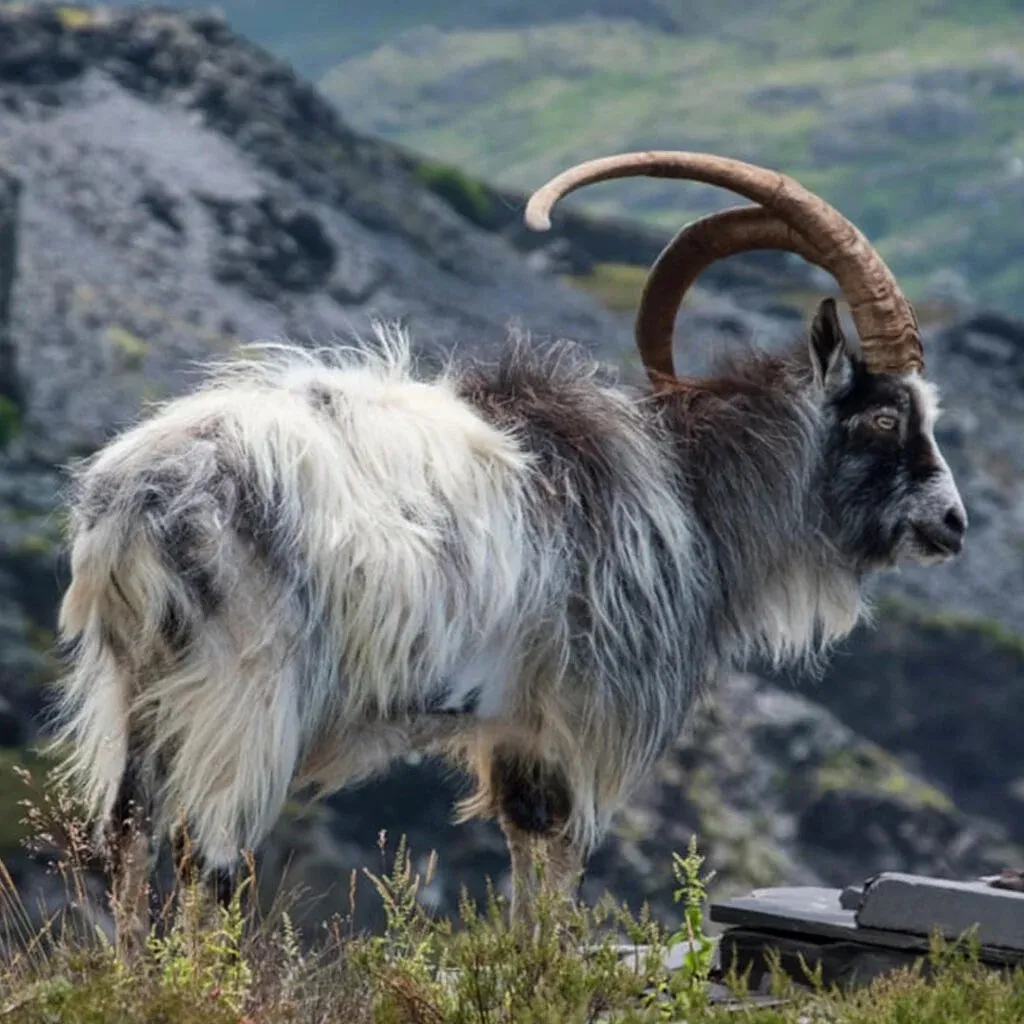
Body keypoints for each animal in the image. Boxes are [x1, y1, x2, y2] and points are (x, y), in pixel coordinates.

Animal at [50, 150, 967, 942]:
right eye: (884, 416)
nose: (952, 524)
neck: (689, 490)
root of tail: (138, 504)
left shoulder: (520, 727)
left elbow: (527, 852)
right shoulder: (581, 713)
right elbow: (558, 859)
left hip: (137, 688)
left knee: (124, 839)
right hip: (245, 693)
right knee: (205, 857)